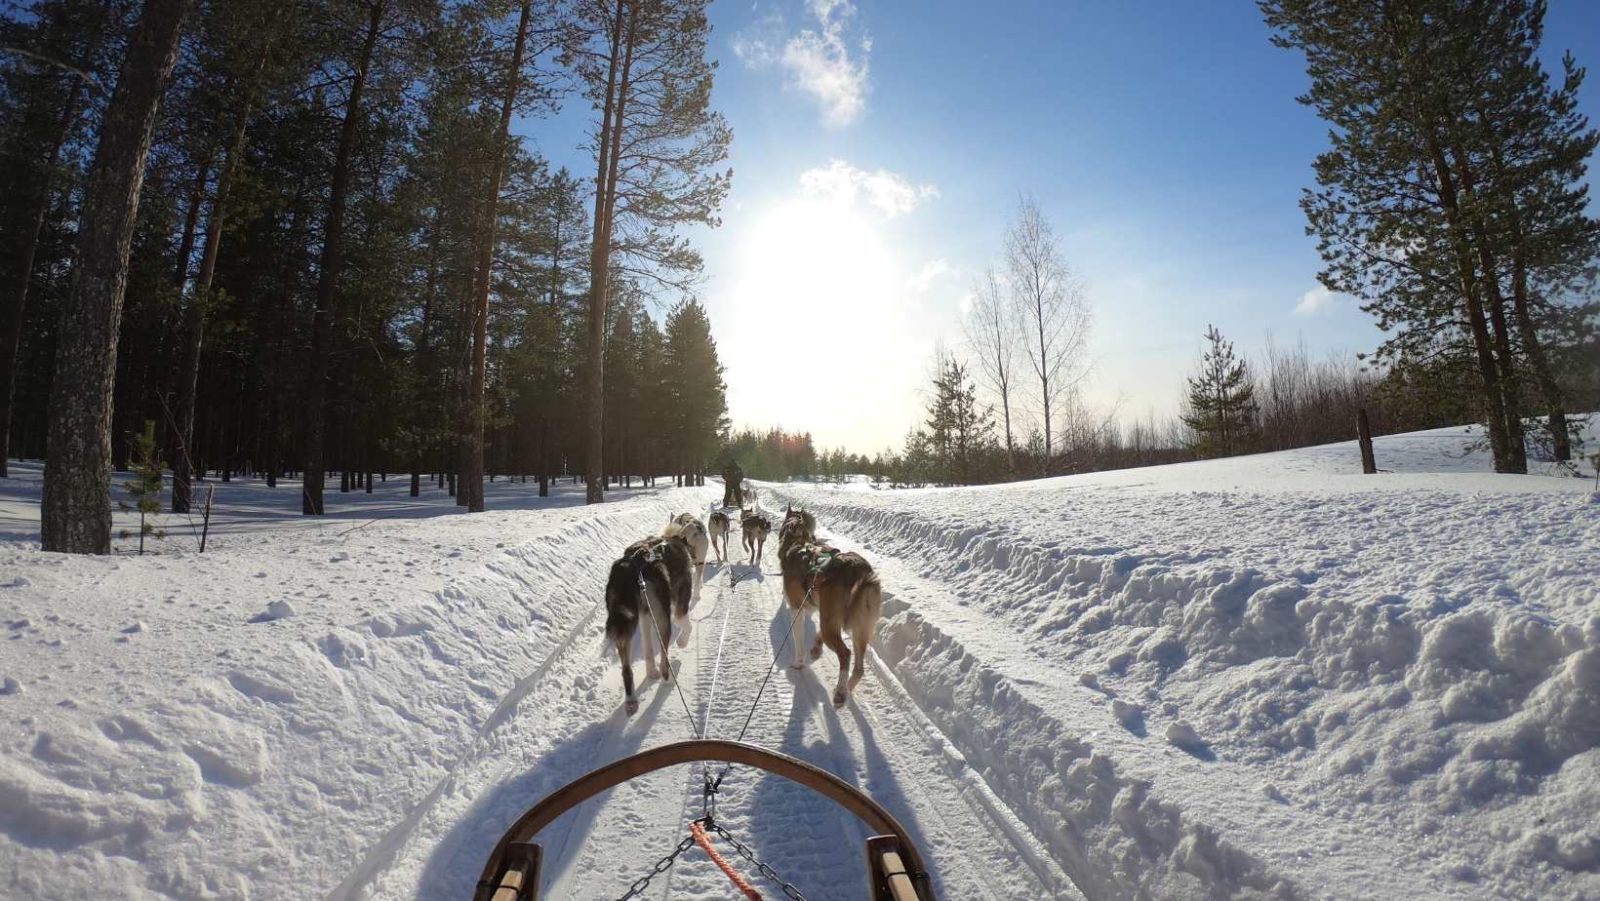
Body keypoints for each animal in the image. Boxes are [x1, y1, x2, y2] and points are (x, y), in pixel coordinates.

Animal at [604, 534, 694, 713]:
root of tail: (631, 568)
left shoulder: (645, 616)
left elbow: (648, 648)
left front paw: (651, 671)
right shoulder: (680, 604)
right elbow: (685, 623)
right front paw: (682, 642)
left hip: (624, 625)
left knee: (626, 670)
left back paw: (631, 700)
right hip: (662, 618)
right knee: (664, 660)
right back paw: (668, 680)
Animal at [777, 540, 883, 707]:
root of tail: (859, 571)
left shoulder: (797, 609)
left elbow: (798, 641)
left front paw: (798, 663)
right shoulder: (825, 615)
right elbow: (817, 634)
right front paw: (816, 648)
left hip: (833, 626)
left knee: (845, 654)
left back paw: (840, 691)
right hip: (859, 629)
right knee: (859, 669)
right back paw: (846, 688)